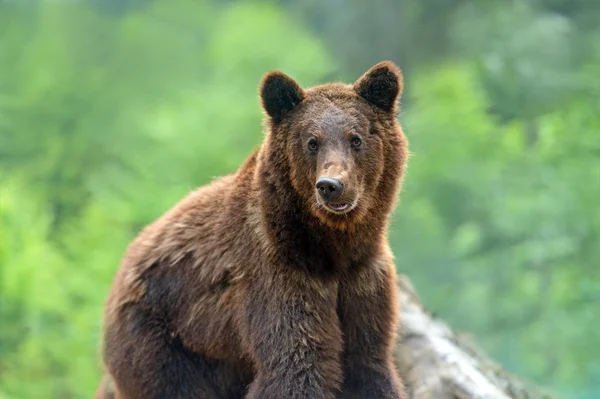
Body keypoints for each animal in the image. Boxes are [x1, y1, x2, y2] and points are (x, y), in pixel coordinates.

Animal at [97, 60, 408, 399]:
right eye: (312, 141)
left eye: (356, 138)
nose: (331, 185)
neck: (330, 247)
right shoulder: (278, 272)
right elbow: (295, 364)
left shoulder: (363, 276)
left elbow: (367, 361)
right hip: (162, 336)